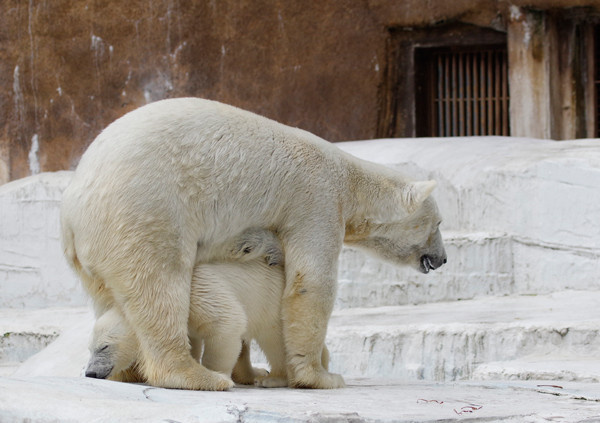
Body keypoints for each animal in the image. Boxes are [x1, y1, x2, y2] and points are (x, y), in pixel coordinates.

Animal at [61, 97, 448, 392]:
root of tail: (72, 208)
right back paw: (196, 375)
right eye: (439, 224)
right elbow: (311, 285)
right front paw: (320, 375)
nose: (443, 259)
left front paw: (258, 371)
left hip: (95, 249)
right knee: (160, 286)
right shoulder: (317, 202)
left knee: (109, 299)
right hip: (144, 210)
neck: (350, 180)